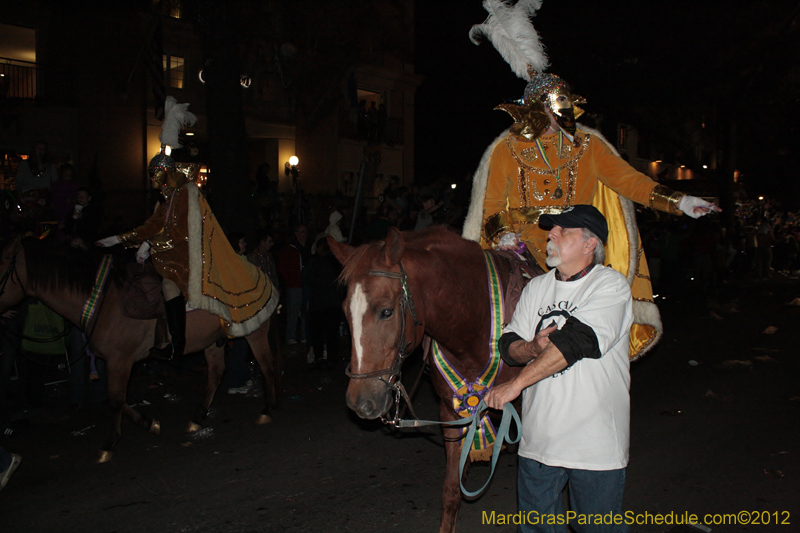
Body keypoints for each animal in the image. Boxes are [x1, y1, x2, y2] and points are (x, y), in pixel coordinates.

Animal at [0, 237, 282, 462]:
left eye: (0, 269)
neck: (103, 300)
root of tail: (260, 270)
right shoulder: (115, 362)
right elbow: (117, 399)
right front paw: (148, 423)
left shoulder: (120, 360)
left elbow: (115, 399)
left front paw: (113, 441)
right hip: (212, 340)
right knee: (216, 372)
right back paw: (198, 416)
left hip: (255, 330)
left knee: (266, 364)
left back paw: (267, 410)